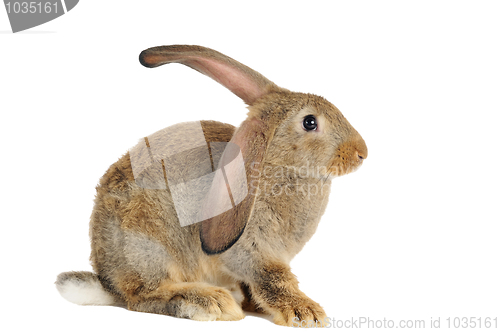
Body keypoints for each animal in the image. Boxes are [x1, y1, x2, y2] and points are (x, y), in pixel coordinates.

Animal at [55, 44, 368, 326]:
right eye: (310, 122)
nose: (362, 153)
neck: (275, 163)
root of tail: (108, 280)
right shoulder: (251, 250)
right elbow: (273, 278)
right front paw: (306, 313)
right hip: (148, 243)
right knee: (143, 295)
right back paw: (208, 302)